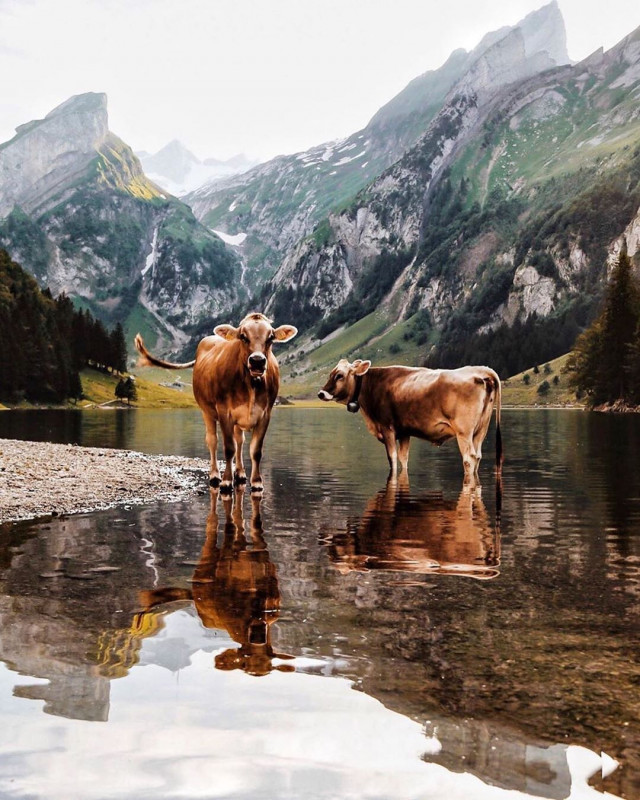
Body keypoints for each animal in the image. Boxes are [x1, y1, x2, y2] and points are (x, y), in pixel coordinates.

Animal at [136, 314, 296, 494]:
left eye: (270, 337)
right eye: (243, 336)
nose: (257, 361)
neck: (251, 385)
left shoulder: (265, 414)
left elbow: (255, 451)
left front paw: (256, 482)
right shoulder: (224, 411)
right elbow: (228, 448)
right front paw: (226, 481)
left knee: (239, 441)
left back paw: (240, 473)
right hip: (206, 411)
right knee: (213, 441)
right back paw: (214, 475)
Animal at [318, 358, 502, 484]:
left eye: (339, 375)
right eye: (330, 374)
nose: (321, 393)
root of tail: (481, 370)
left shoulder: (387, 428)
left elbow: (392, 458)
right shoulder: (405, 432)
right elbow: (403, 458)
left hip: (464, 432)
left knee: (469, 458)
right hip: (480, 430)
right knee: (477, 456)